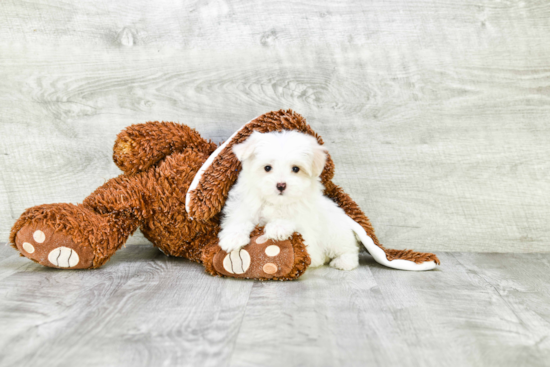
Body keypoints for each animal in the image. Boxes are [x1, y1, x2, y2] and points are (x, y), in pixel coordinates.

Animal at [220, 129, 362, 270]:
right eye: (267, 167)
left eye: (295, 169)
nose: (281, 185)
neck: (276, 202)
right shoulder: (245, 204)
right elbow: (239, 219)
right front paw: (233, 238)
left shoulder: (304, 218)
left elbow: (293, 219)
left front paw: (278, 227)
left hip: (336, 234)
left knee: (349, 249)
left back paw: (343, 262)